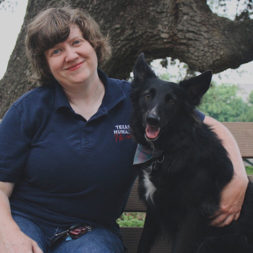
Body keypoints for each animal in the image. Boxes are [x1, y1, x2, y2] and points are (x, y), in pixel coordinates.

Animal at [130, 54, 253, 253]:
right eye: (148, 95)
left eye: (171, 100)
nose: (152, 120)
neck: (167, 151)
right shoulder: (153, 209)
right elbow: (143, 243)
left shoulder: (192, 216)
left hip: (212, 242)